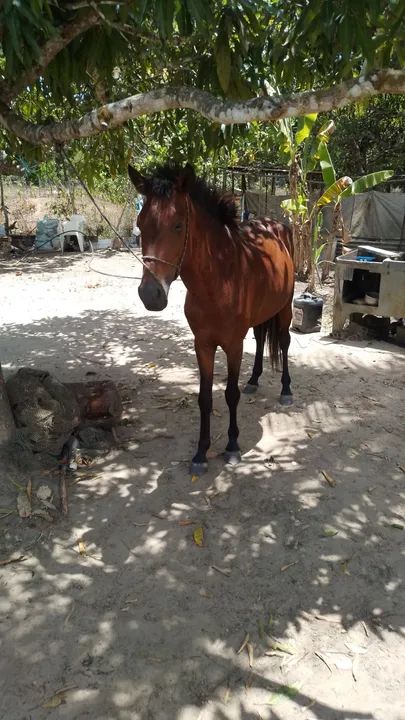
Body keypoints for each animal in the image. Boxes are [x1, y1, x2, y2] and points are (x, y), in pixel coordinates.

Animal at [128, 163, 295, 475]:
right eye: (141, 224)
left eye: (178, 225)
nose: (150, 294)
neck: (219, 279)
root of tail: (275, 225)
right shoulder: (202, 344)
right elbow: (204, 398)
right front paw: (201, 453)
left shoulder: (232, 345)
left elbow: (230, 394)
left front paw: (232, 446)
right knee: (261, 338)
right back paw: (254, 380)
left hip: (285, 308)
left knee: (284, 341)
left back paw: (286, 389)